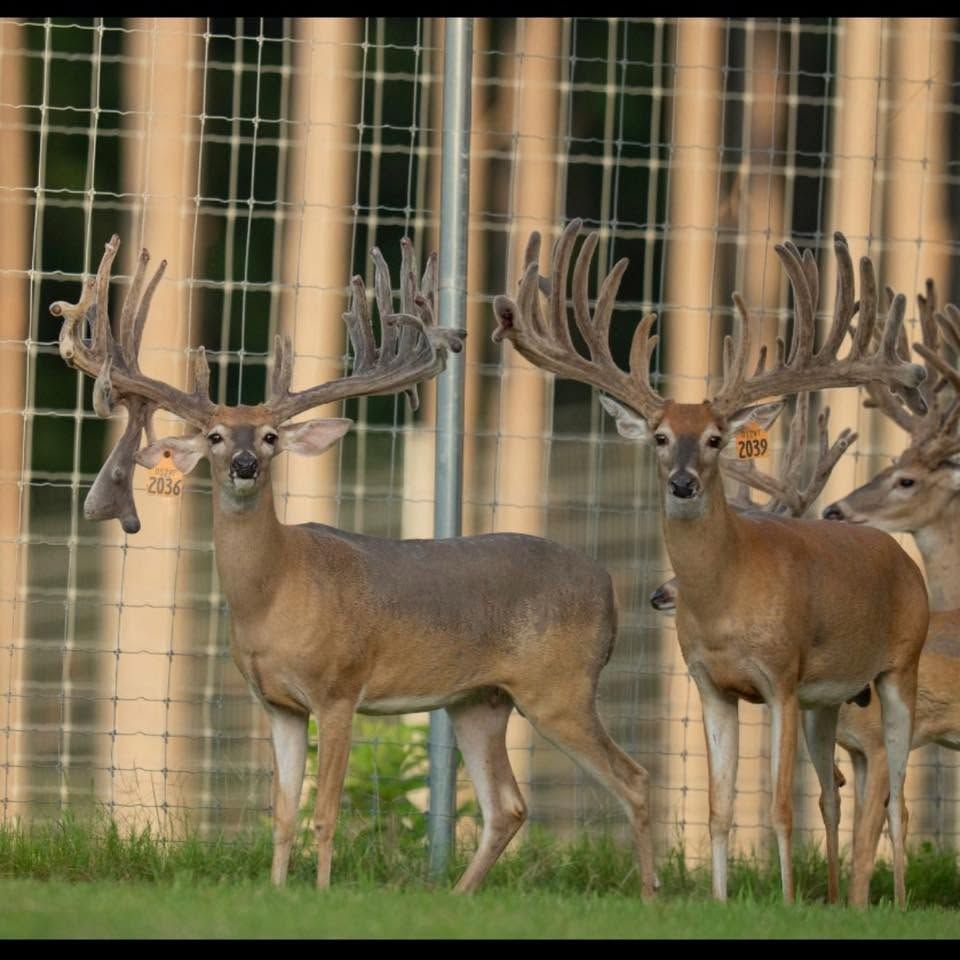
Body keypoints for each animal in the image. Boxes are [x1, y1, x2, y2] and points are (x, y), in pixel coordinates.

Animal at [51, 233, 658, 897]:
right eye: (214, 436)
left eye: (270, 436)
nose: (243, 464)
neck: (273, 596)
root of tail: (608, 584)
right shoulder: (278, 704)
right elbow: (283, 814)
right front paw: (277, 891)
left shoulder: (338, 689)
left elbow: (325, 813)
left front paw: (319, 895)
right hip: (479, 700)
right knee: (508, 805)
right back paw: (458, 896)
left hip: (561, 686)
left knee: (633, 781)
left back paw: (652, 897)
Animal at [490, 218, 931, 907]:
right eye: (661, 436)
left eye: (718, 439)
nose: (683, 483)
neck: (728, 597)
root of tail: (898, 553)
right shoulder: (711, 684)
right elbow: (720, 809)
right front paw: (721, 901)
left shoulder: (781, 677)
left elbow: (776, 807)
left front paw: (783, 902)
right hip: (831, 699)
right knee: (836, 793)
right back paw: (839, 898)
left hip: (899, 668)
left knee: (896, 798)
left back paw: (897, 901)